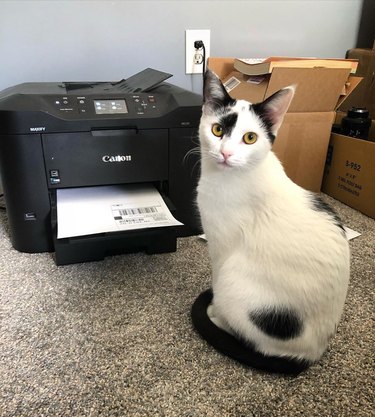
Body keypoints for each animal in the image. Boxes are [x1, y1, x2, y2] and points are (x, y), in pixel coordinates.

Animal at [194, 69, 352, 374]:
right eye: (217, 130)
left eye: (250, 138)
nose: (226, 153)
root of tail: (310, 355)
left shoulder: (221, 246)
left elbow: (215, 278)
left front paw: (214, 309)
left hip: (237, 282)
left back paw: (218, 319)